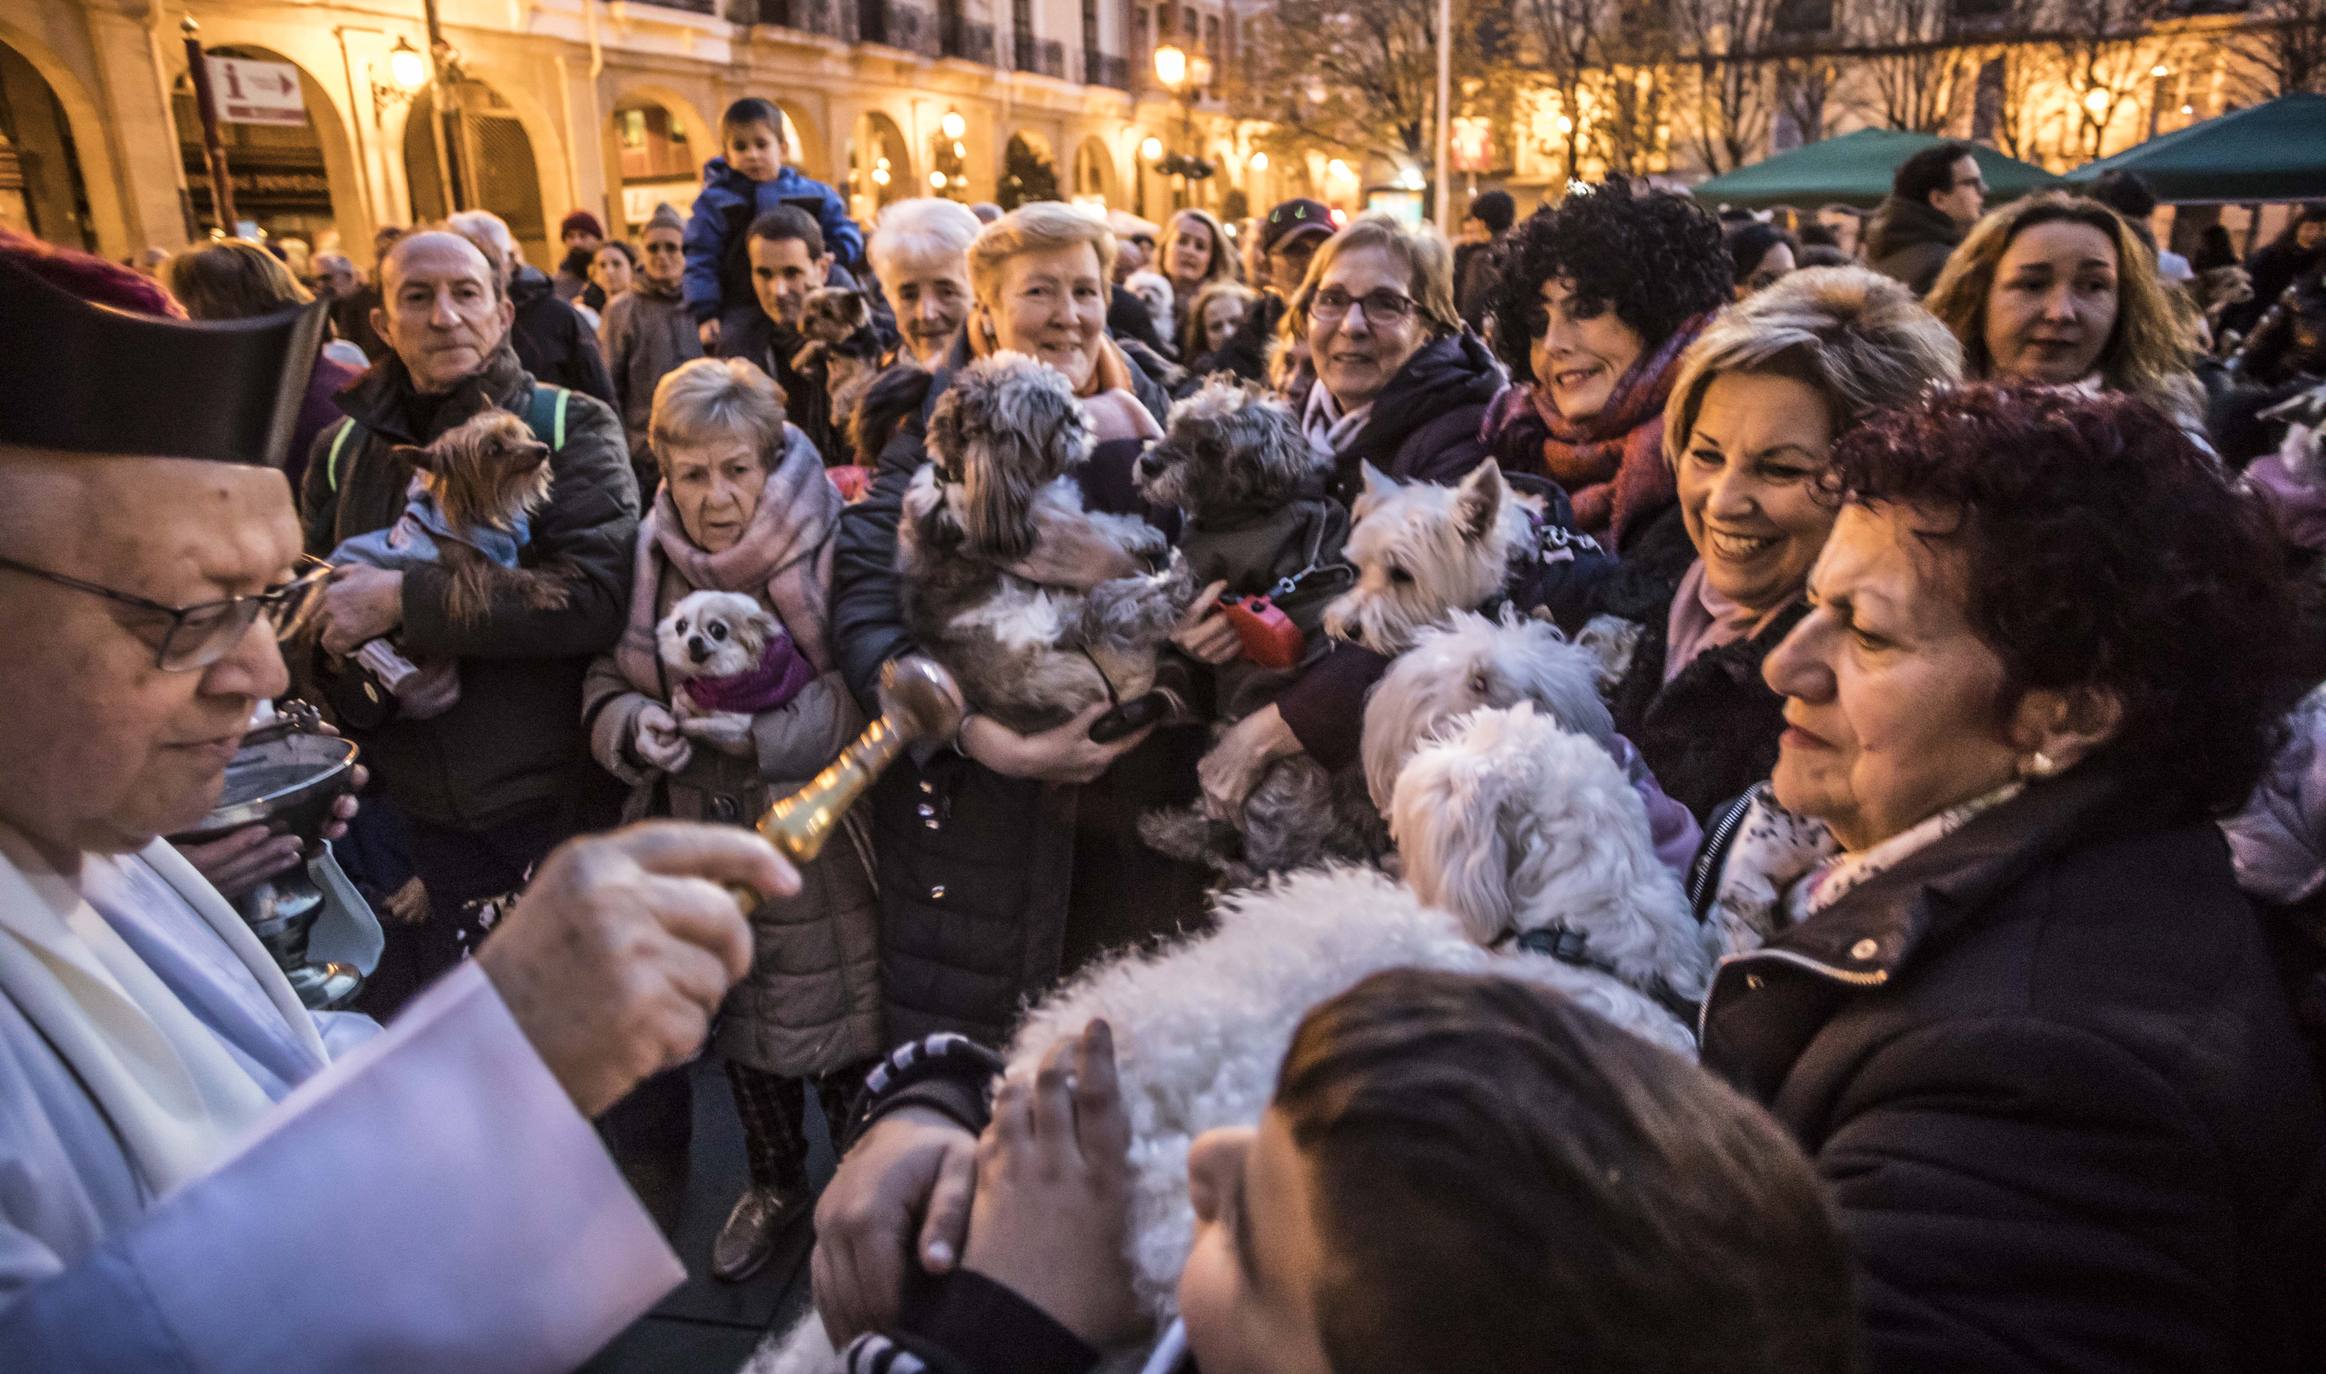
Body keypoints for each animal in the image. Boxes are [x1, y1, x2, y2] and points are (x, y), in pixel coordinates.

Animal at [893, 355, 1190, 743]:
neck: (963, 477)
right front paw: (1141, 534)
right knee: (1110, 610)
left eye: (1066, 403)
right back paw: (1169, 588)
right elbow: (1102, 525)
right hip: (1039, 620)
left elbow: (1096, 518)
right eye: (1053, 420)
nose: (1077, 417)